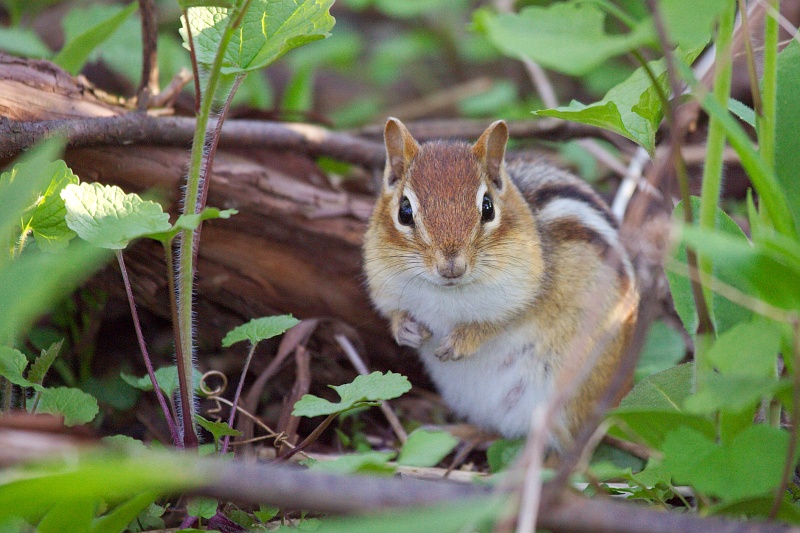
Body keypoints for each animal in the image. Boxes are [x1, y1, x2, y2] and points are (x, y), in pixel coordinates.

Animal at [363, 118, 639, 450]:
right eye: (404, 211)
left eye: (488, 207)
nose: (451, 266)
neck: (444, 293)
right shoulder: (385, 288)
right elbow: (394, 313)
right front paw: (406, 330)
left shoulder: (524, 294)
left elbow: (499, 322)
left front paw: (460, 341)